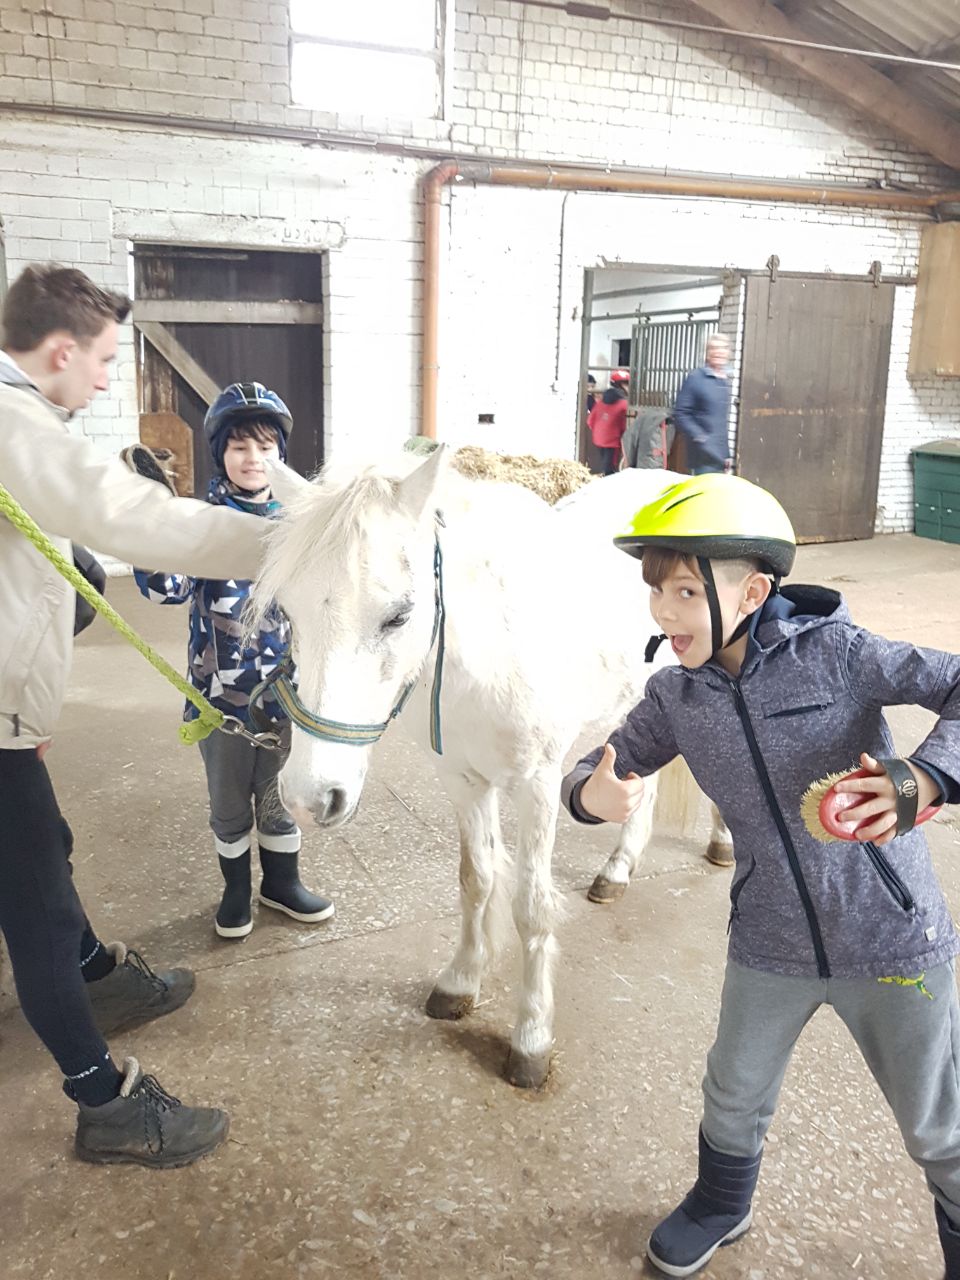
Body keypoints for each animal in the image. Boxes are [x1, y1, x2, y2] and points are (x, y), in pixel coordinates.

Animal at [251, 450, 716, 1089]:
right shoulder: (464, 782)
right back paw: (618, 871)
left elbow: (530, 907)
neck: (492, 652)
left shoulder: (538, 786)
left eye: (399, 616)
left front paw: (532, 1037)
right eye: (289, 615)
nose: (308, 796)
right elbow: (476, 881)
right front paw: (460, 983)